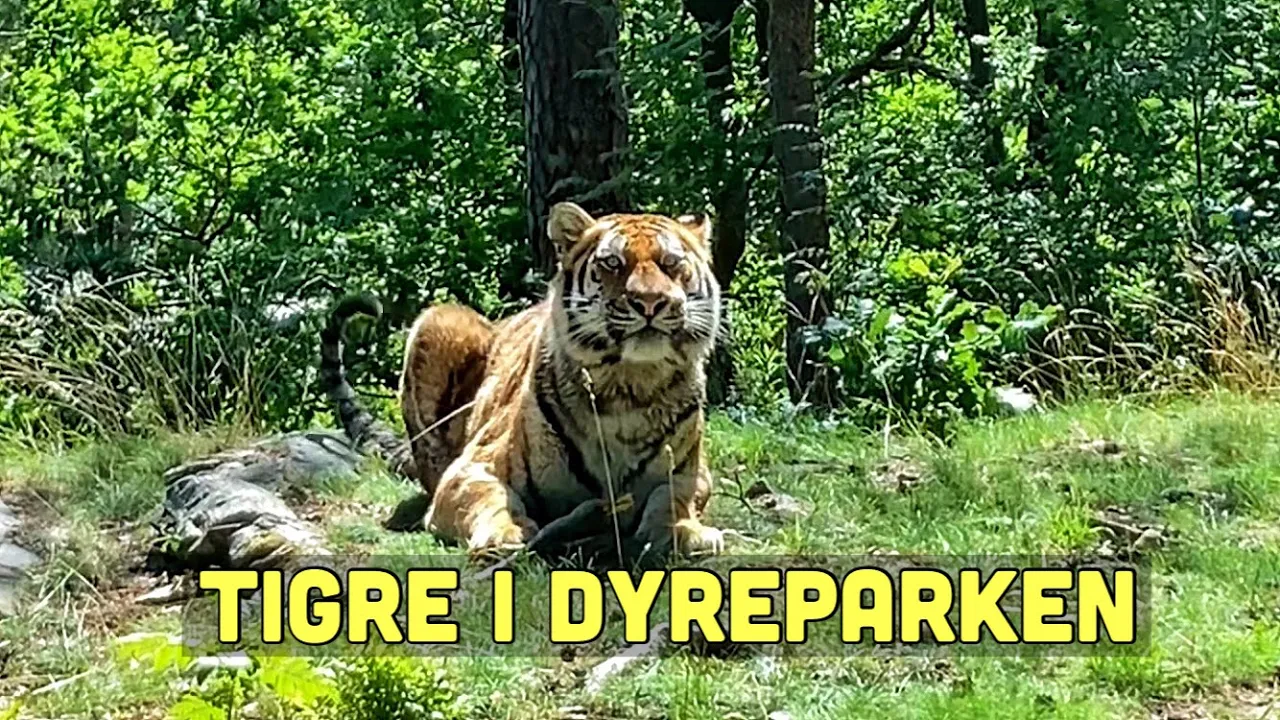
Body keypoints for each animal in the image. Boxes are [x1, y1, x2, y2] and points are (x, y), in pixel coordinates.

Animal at [321, 202, 725, 557]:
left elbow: (672, 500)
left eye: (671, 263)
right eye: (613, 262)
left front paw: (687, 531)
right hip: (439, 320)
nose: (651, 302)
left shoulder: (692, 474)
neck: (631, 383)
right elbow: (492, 500)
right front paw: (506, 533)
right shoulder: (470, 468)